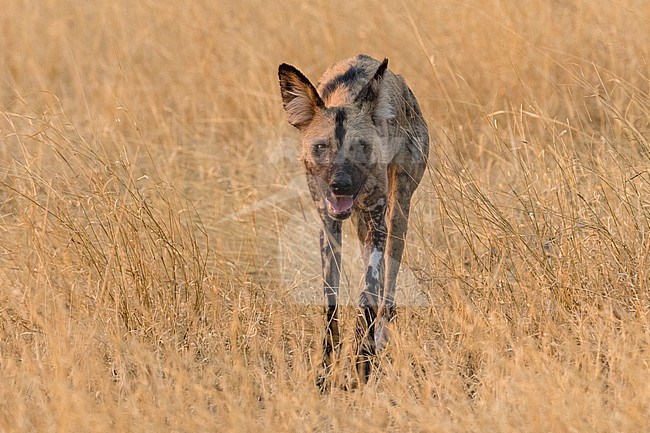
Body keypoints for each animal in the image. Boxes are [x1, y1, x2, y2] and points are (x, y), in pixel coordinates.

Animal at [276, 54, 428, 384]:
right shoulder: (329, 225)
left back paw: (379, 337)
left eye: (361, 147)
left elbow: (368, 289)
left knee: (388, 284)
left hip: (398, 211)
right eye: (321, 147)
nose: (341, 185)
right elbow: (330, 300)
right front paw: (325, 368)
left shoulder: (376, 224)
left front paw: (363, 361)